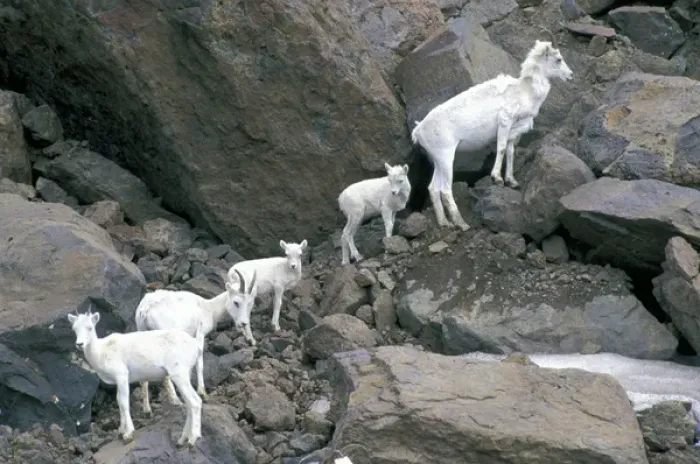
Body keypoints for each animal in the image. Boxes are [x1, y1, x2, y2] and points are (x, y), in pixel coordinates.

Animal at [67, 308, 204, 447]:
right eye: (74, 329)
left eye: (90, 327)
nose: (79, 344)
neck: (101, 352)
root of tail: (196, 345)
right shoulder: (118, 381)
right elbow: (118, 401)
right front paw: (121, 431)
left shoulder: (122, 376)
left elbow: (123, 402)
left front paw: (128, 434)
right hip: (183, 377)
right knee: (189, 404)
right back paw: (181, 440)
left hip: (179, 375)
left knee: (195, 402)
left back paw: (193, 439)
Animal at [134, 269, 257, 412]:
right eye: (236, 302)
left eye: (249, 303)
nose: (243, 323)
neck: (208, 308)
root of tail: (146, 309)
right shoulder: (199, 334)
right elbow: (199, 362)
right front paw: (202, 392)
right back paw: (175, 401)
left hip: (143, 334)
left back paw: (147, 409)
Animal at [411, 33, 573, 231]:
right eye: (558, 59)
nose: (571, 75)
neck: (525, 92)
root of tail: (419, 130)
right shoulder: (504, 122)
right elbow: (501, 148)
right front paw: (497, 179)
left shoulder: (514, 132)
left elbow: (510, 152)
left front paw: (511, 181)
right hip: (446, 157)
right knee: (444, 190)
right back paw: (462, 224)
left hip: (438, 161)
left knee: (433, 188)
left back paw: (445, 223)